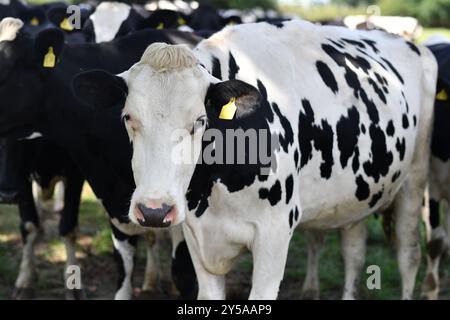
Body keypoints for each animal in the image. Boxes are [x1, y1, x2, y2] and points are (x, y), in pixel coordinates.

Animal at [75, 20, 438, 300]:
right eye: (128, 117)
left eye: (199, 120)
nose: (153, 210)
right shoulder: (196, 236)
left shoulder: (275, 233)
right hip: (353, 196)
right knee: (354, 252)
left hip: (416, 178)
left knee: (409, 255)